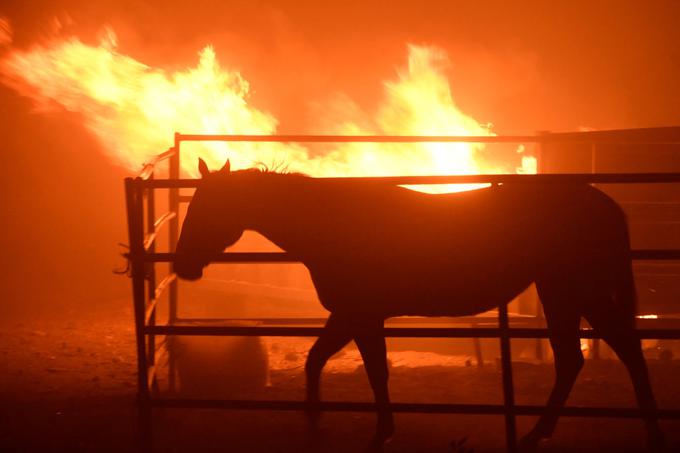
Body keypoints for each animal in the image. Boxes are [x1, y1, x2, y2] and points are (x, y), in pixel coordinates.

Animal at [174, 158, 664, 448]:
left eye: (206, 208)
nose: (182, 264)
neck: (333, 223)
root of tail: (603, 202)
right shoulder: (349, 315)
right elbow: (317, 361)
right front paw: (315, 426)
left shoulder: (361, 314)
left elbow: (375, 372)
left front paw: (379, 433)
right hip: (570, 293)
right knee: (592, 355)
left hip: (573, 291)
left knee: (605, 354)